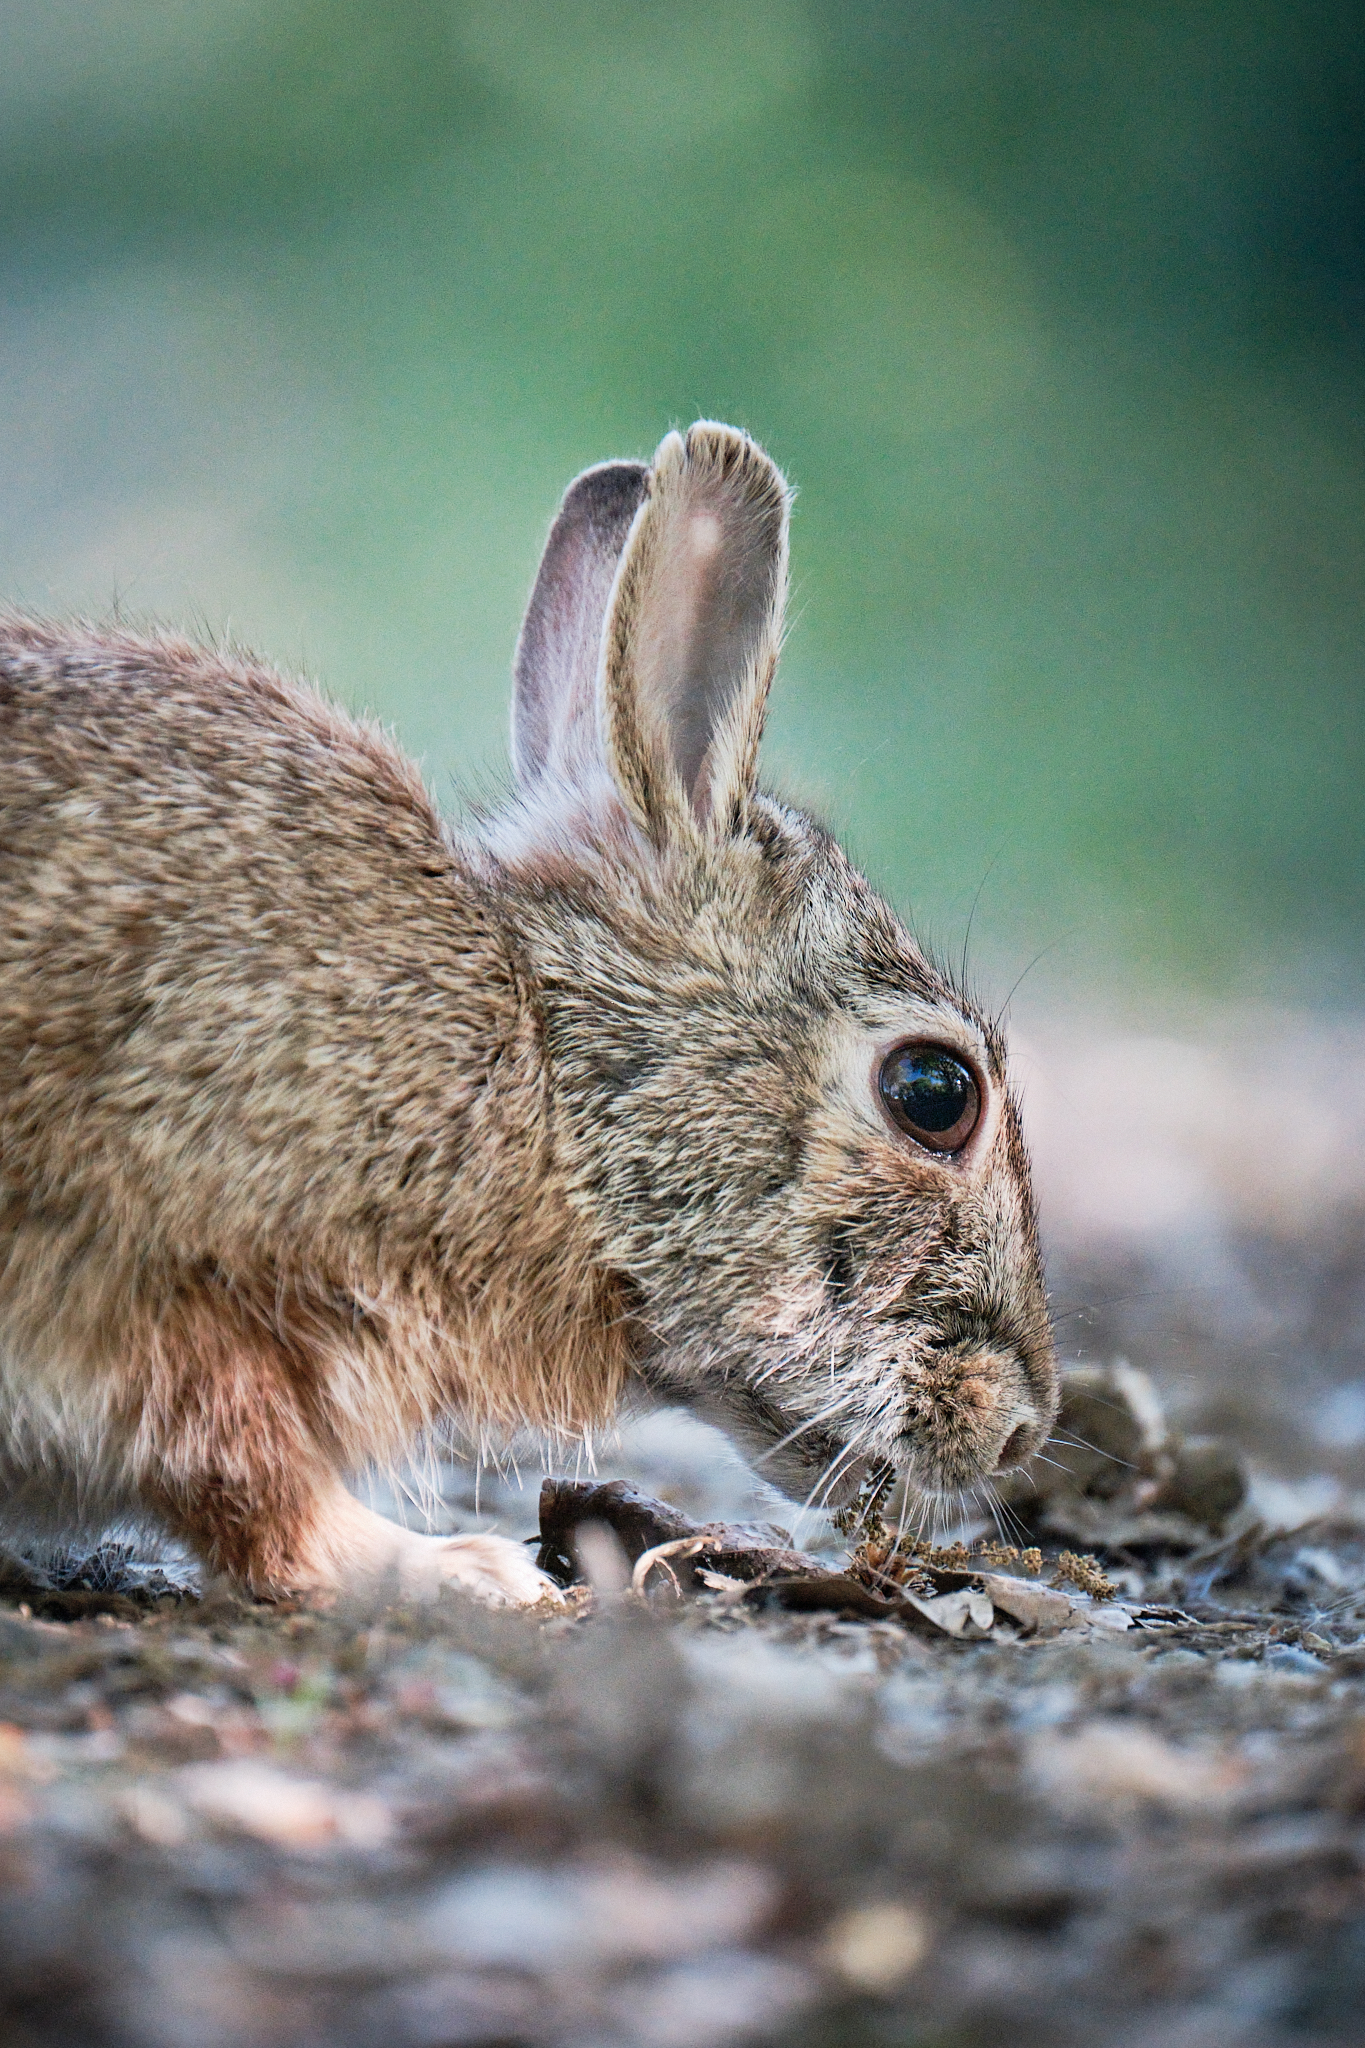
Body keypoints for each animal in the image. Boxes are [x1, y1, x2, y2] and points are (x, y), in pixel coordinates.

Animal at [0, 421, 1056, 1607]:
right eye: (933, 1091)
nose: (1022, 1431)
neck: (544, 1077)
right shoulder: (176, 1265)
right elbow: (251, 1483)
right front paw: (464, 1571)